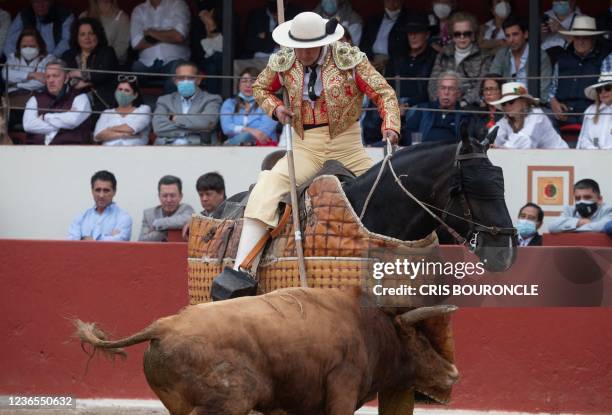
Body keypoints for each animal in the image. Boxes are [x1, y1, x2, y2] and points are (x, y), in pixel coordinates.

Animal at [75, 290, 460, 415]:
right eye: (422, 341)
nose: (453, 373)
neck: (369, 330)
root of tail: (162, 326)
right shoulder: (342, 389)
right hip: (228, 404)